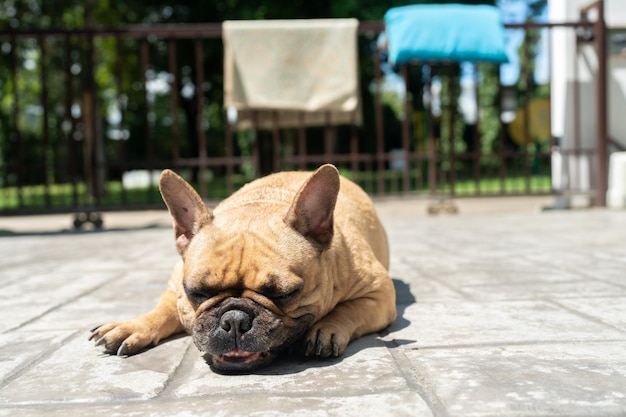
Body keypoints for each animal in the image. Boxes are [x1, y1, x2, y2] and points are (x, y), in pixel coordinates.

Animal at [89, 164, 394, 372]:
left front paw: (326, 327)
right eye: (197, 292)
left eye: (285, 294)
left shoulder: (380, 294)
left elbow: (349, 309)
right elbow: (163, 310)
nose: (234, 320)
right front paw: (134, 325)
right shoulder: (176, 288)